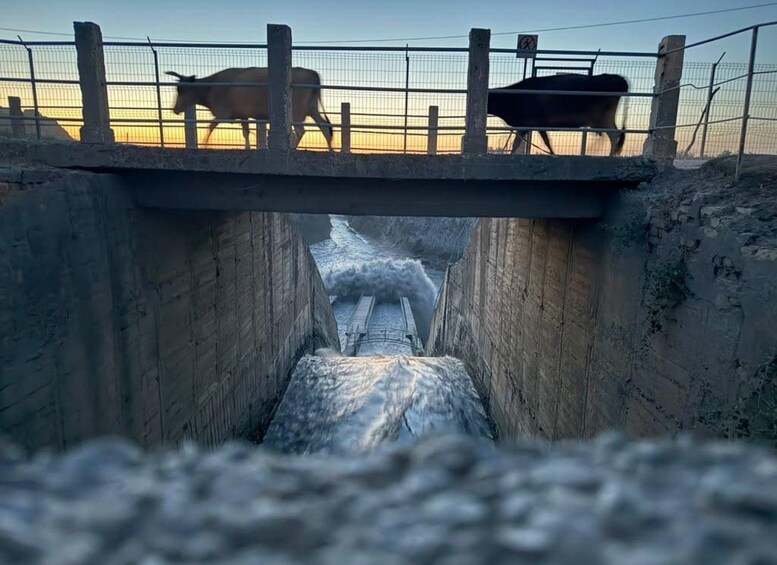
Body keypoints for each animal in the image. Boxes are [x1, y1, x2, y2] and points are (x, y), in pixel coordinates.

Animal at [166, 67, 334, 150]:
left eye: (182, 90)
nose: (175, 109)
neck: (210, 87)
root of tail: (313, 74)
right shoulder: (242, 115)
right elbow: (245, 132)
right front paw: (247, 147)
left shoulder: (223, 113)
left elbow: (211, 126)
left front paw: (204, 144)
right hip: (312, 108)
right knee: (325, 126)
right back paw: (331, 151)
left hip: (296, 111)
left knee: (300, 130)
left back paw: (292, 149)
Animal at [486, 73, 629, 156]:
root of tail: (620, 79)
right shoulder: (525, 125)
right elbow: (516, 144)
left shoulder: (535, 122)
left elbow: (546, 142)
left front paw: (553, 153)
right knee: (614, 134)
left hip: (604, 117)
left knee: (614, 134)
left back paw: (610, 156)